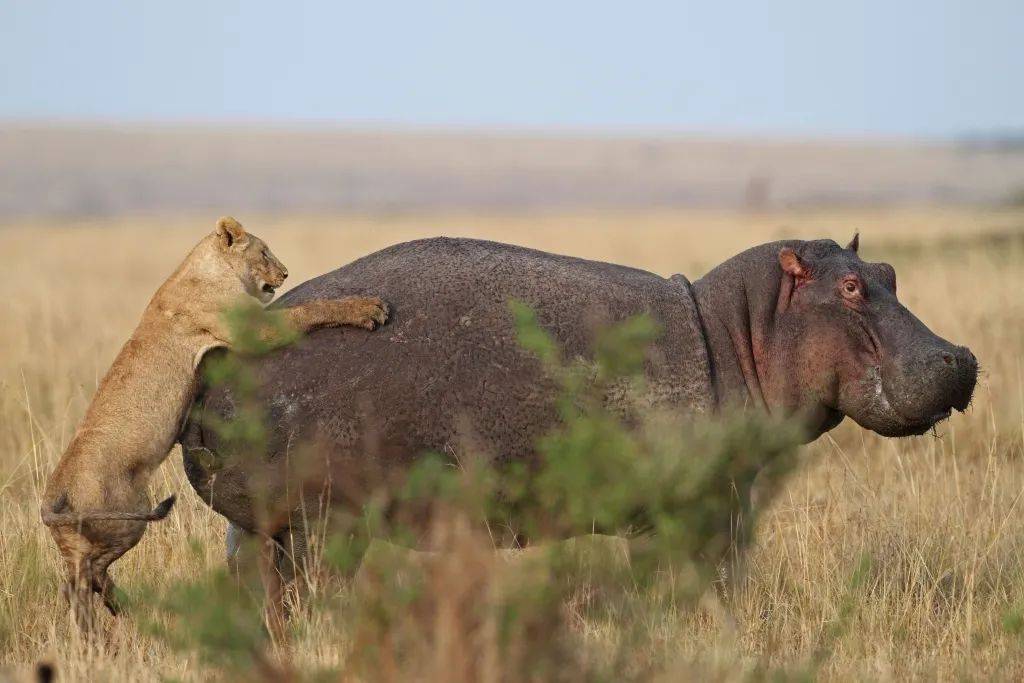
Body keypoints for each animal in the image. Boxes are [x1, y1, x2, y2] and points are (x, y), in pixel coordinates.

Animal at [41, 218, 389, 630]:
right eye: (264, 252)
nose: (285, 273)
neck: (204, 267)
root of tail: (50, 499)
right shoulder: (250, 329)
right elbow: (308, 311)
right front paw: (368, 308)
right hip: (127, 519)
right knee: (85, 576)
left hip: (89, 536)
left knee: (78, 581)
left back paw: (110, 614)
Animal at [180, 235, 978, 577]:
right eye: (849, 287)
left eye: (888, 270)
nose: (960, 358)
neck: (742, 332)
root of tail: (215, 360)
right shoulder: (685, 511)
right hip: (323, 523)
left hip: (260, 527)